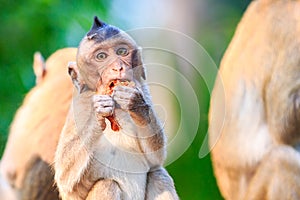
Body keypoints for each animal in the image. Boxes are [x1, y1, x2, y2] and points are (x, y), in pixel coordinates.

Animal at [54, 16, 178, 200]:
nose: (118, 67)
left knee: (158, 174)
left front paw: (136, 104)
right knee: (107, 184)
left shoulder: (143, 88)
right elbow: (65, 180)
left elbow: (155, 159)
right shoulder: (79, 107)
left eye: (121, 52)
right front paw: (98, 112)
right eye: (101, 56)